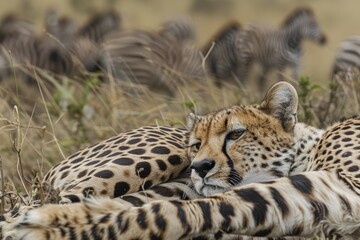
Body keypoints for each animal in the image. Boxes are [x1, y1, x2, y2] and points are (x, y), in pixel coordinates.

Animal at [2, 81, 360, 239]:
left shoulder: (343, 191)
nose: (199, 167)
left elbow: (181, 210)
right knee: (23, 206)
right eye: (196, 144)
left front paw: (56, 225)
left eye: (235, 134)